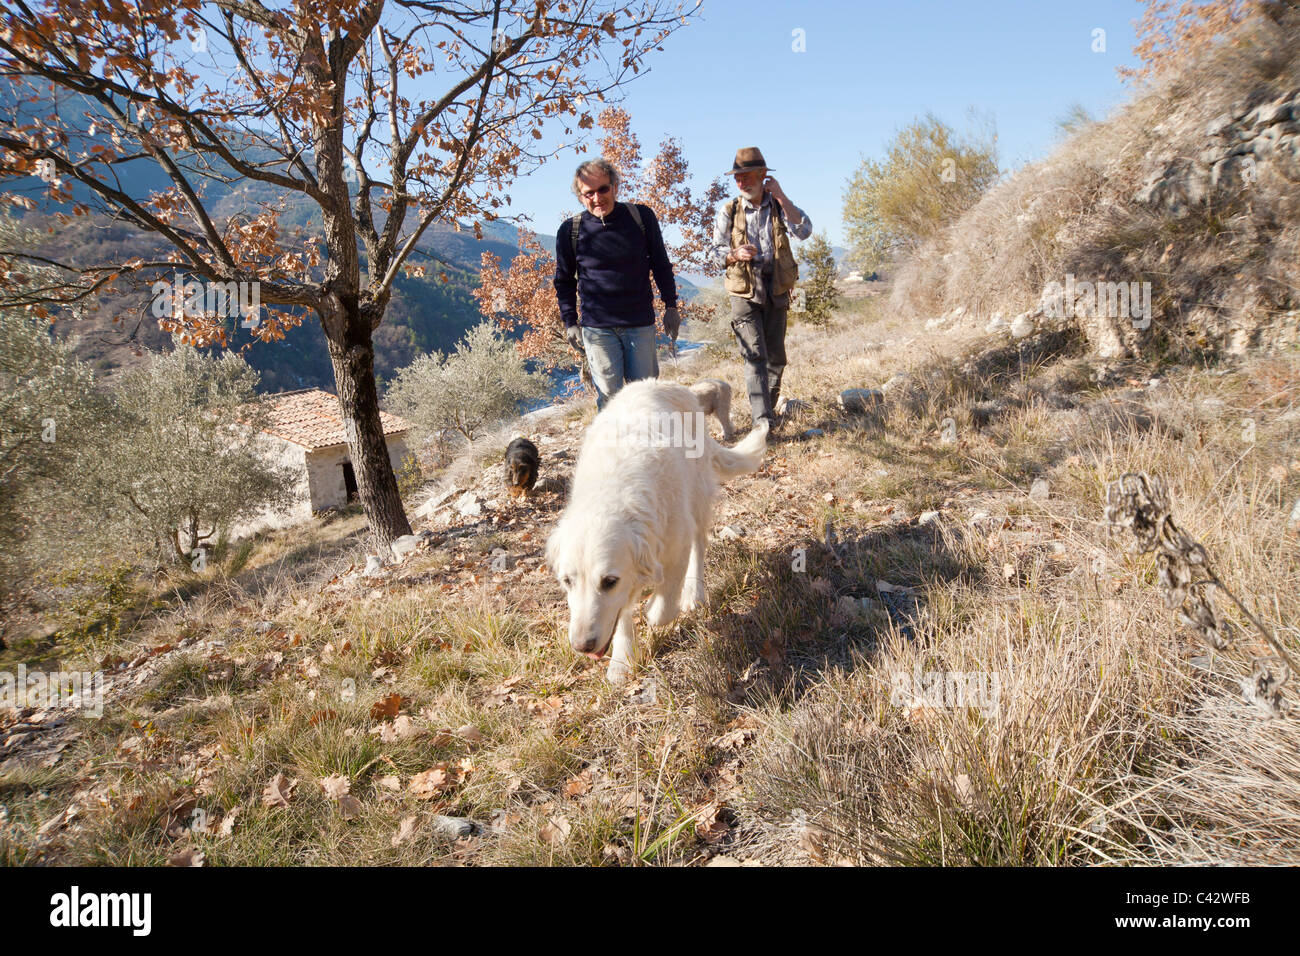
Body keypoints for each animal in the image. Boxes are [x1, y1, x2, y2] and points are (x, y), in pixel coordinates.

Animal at [543, 377, 764, 686]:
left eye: (609, 581)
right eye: (567, 581)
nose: (581, 646)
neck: (612, 489)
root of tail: (666, 383)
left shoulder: (675, 541)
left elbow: (663, 606)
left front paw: (656, 610)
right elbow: (623, 613)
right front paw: (622, 660)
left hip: (697, 497)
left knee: (699, 546)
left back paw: (694, 594)